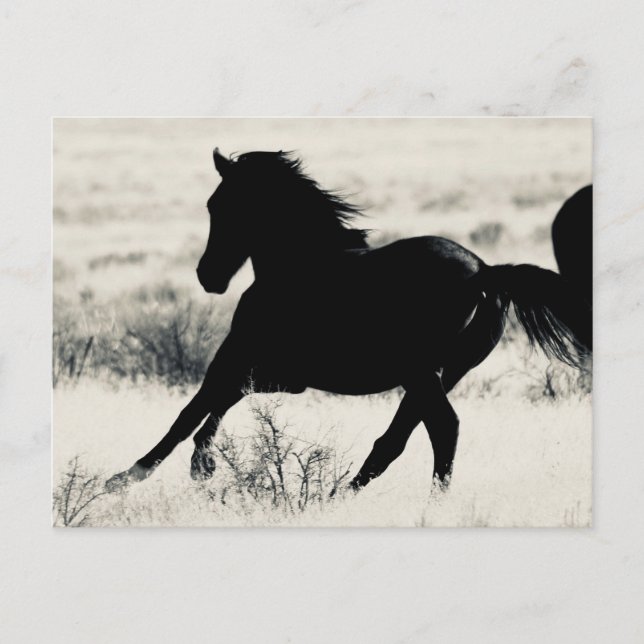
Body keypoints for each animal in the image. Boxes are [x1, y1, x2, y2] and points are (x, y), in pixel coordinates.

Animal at [106, 150, 591, 494]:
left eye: (219, 204)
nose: (208, 276)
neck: (297, 267)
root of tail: (485, 273)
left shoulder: (242, 356)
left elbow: (194, 408)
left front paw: (131, 477)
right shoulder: (285, 376)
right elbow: (222, 401)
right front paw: (200, 464)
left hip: (421, 373)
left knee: (442, 429)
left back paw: (423, 503)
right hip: (444, 373)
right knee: (395, 440)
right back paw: (338, 495)